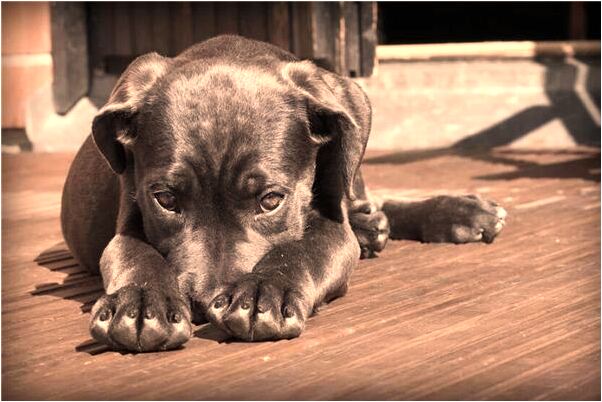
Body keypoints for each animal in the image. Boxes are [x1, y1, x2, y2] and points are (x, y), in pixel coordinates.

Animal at [61, 35, 504, 352]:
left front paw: (263, 292)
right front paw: (140, 303)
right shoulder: (127, 219)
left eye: (271, 200)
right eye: (166, 200)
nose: (204, 303)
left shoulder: (331, 226)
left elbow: (303, 249)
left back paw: (455, 213)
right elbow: (134, 254)